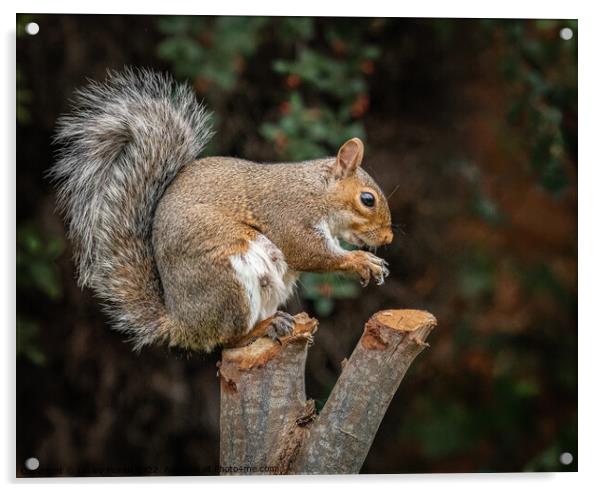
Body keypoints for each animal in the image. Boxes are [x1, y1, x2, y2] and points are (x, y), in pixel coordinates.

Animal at [49, 68, 392, 354]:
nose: (388, 239)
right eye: (368, 199)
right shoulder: (289, 215)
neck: (317, 192)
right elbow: (307, 252)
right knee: (229, 339)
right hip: (230, 279)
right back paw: (263, 327)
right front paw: (362, 261)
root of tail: (183, 325)